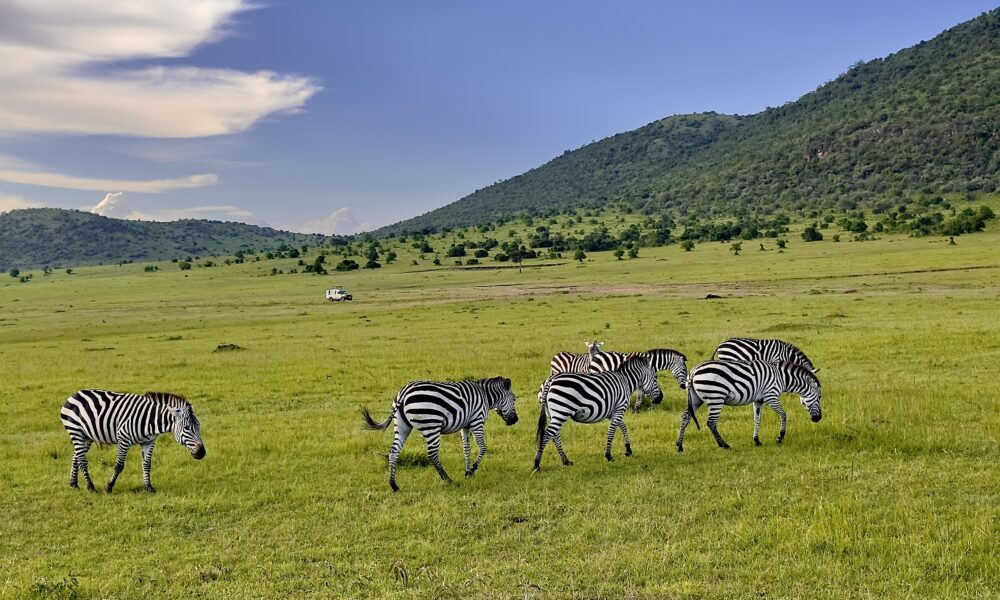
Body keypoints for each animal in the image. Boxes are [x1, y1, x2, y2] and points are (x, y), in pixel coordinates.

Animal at [59, 390, 207, 492]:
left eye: (199, 426)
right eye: (187, 428)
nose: (202, 453)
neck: (151, 420)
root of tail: (75, 394)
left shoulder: (149, 442)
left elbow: (147, 464)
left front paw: (148, 487)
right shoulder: (123, 439)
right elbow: (119, 465)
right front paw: (109, 487)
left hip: (86, 436)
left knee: (76, 456)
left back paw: (74, 484)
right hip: (76, 432)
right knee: (82, 460)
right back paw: (90, 487)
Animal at [362, 378, 520, 490]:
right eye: (514, 399)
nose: (515, 421)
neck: (485, 396)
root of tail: (404, 393)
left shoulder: (465, 425)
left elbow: (466, 449)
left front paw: (467, 471)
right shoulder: (477, 421)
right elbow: (483, 447)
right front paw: (473, 469)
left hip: (402, 425)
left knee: (394, 452)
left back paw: (393, 485)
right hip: (432, 425)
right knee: (432, 454)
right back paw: (448, 480)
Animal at [532, 354, 664, 472]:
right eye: (655, 378)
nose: (660, 398)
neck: (626, 381)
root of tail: (551, 380)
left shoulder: (612, 412)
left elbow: (623, 427)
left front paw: (628, 449)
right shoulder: (620, 408)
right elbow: (612, 431)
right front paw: (608, 455)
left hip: (552, 413)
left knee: (555, 436)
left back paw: (566, 461)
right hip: (561, 411)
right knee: (547, 435)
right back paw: (537, 464)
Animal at [676, 358, 824, 452]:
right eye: (820, 397)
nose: (818, 419)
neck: (781, 377)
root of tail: (694, 371)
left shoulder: (758, 400)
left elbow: (757, 419)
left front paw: (757, 440)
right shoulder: (771, 396)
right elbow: (783, 414)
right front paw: (780, 437)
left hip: (696, 399)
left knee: (685, 417)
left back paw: (679, 446)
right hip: (716, 397)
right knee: (711, 422)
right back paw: (724, 445)